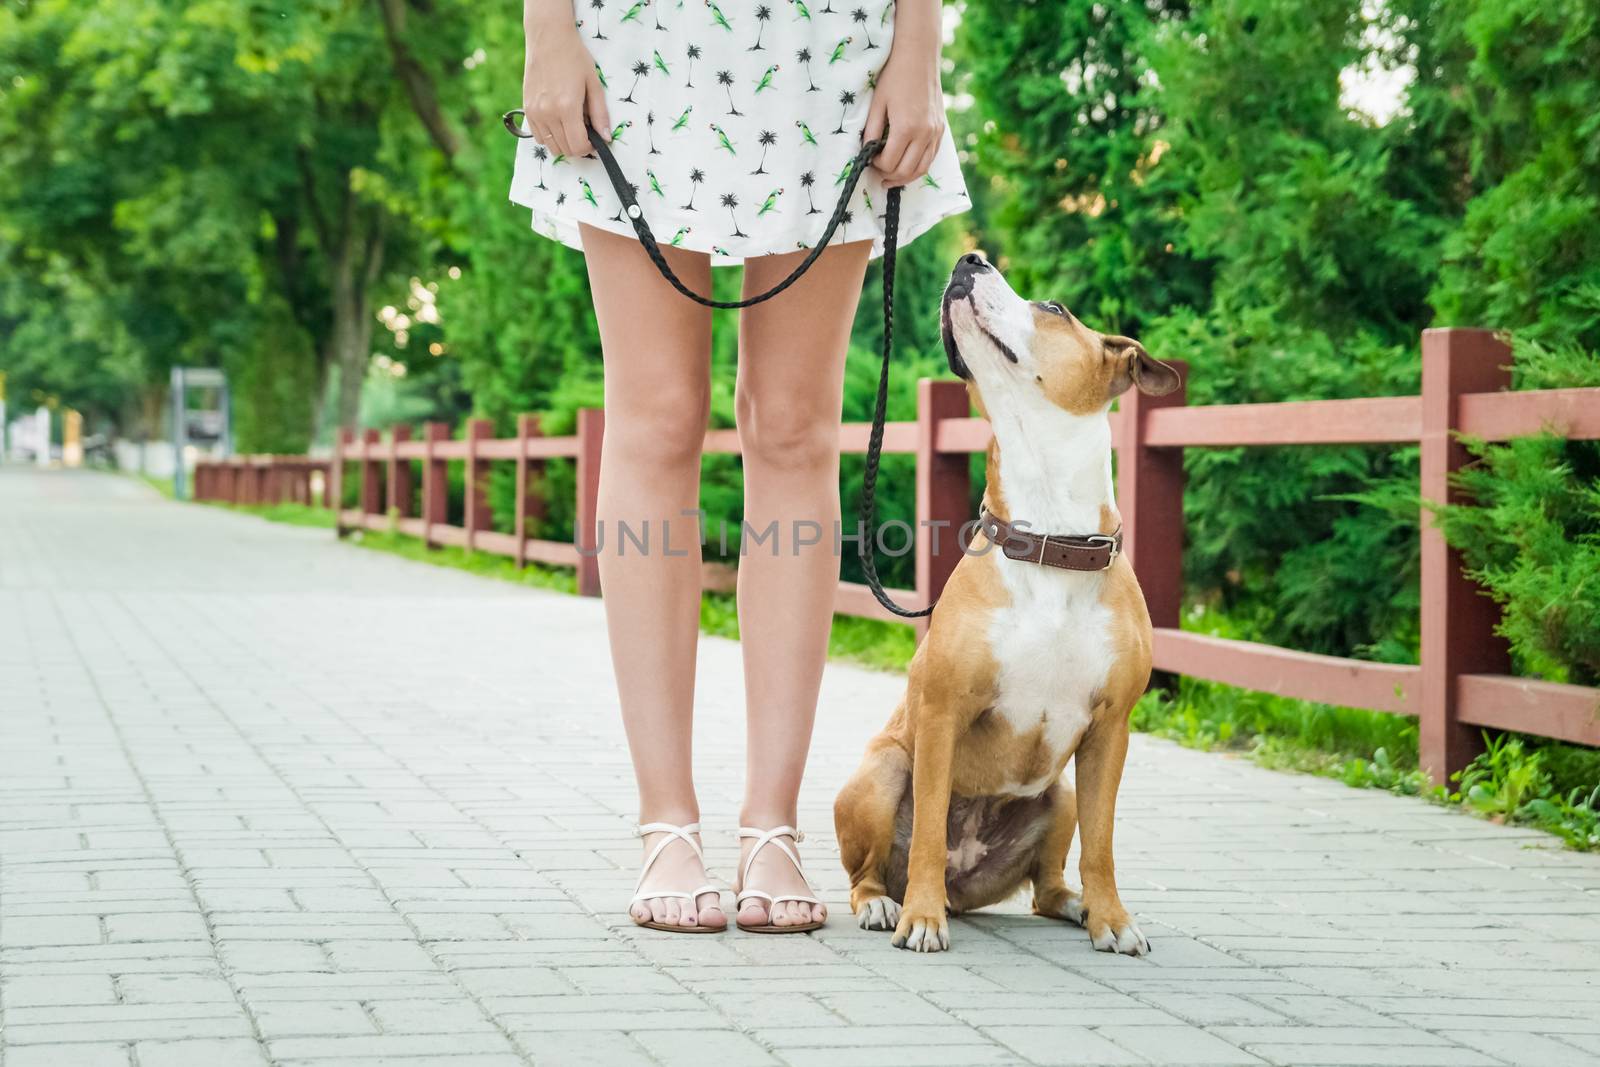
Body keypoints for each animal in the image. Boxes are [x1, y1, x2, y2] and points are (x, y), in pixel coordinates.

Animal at [832, 252, 1184, 959]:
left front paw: (1113, 919)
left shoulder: (1111, 729)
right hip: (882, 771)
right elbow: (929, 830)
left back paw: (1076, 906)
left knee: (1047, 887)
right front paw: (921, 920)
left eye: (1054, 308)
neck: (1049, 540)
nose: (970, 258)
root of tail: (965, 885)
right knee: (871, 870)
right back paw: (886, 904)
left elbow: (1102, 843)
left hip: (1061, 795)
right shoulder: (941, 712)